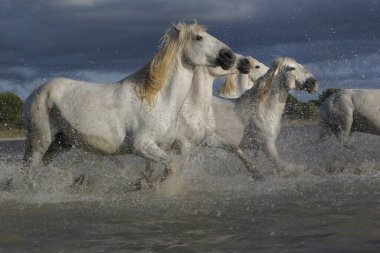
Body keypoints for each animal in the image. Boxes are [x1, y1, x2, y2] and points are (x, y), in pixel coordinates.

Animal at [20, 22, 236, 188]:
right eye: (199, 37)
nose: (230, 56)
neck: (158, 100)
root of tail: (35, 93)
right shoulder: (142, 145)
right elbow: (173, 167)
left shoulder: (159, 147)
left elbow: (157, 171)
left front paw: (145, 184)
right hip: (40, 141)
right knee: (30, 169)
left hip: (62, 143)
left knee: (41, 165)